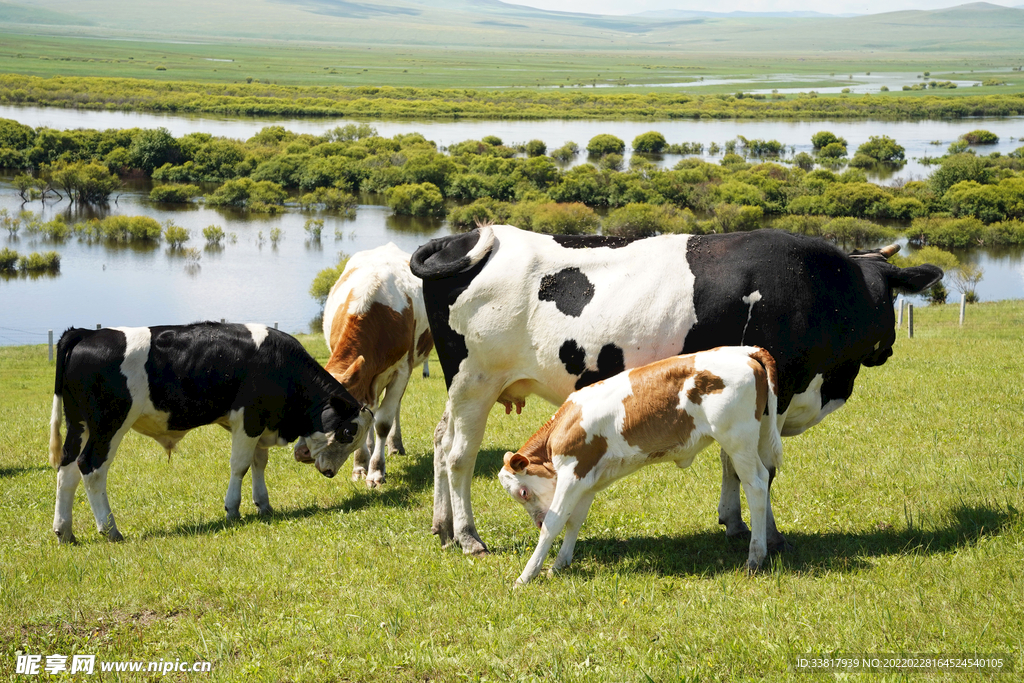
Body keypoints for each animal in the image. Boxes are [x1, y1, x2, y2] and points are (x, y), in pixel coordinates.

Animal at [48, 321, 368, 544]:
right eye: (348, 432)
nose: (330, 472)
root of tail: (85, 333)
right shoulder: (249, 419)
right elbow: (240, 466)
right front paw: (233, 510)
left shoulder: (261, 423)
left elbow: (259, 463)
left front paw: (264, 505)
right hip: (109, 425)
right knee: (91, 468)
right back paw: (110, 529)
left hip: (79, 425)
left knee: (67, 470)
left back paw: (65, 532)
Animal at [292, 242, 432, 489]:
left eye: (345, 429)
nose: (301, 453)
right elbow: (370, 418)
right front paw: (360, 466)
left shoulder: (401, 370)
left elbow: (382, 423)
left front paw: (376, 471)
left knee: (393, 409)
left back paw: (395, 445)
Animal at [409, 224, 942, 557]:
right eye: (890, 296)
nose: (887, 349)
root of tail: (460, 237)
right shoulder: (779, 388)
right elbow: (763, 468)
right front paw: (770, 536)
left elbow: (733, 462)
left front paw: (735, 522)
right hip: (475, 383)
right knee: (459, 456)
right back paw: (468, 536)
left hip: (462, 389)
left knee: (439, 441)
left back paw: (442, 527)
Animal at [499, 348, 778, 589]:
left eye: (523, 492)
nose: (536, 522)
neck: (566, 423)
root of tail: (742, 350)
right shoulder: (588, 481)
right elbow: (574, 521)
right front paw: (559, 564)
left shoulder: (572, 473)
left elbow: (555, 523)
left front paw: (526, 576)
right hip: (755, 438)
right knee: (765, 476)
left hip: (737, 440)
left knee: (756, 485)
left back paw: (755, 558)